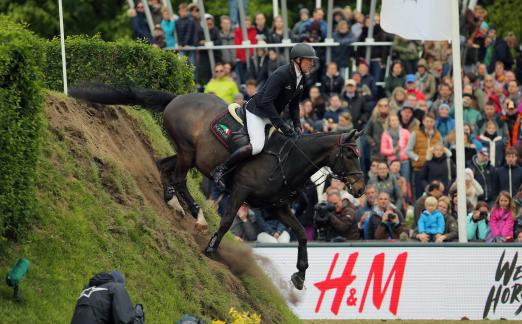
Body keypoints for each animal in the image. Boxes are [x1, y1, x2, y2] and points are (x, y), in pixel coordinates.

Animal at [68, 84, 362, 288]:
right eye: (350, 155)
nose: (359, 188)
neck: (286, 160)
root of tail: (177, 98)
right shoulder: (240, 191)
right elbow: (228, 220)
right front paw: (210, 249)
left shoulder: (275, 207)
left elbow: (301, 234)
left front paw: (300, 274)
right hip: (187, 151)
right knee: (178, 177)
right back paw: (194, 214)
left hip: (188, 155)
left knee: (164, 166)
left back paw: (175, 203)